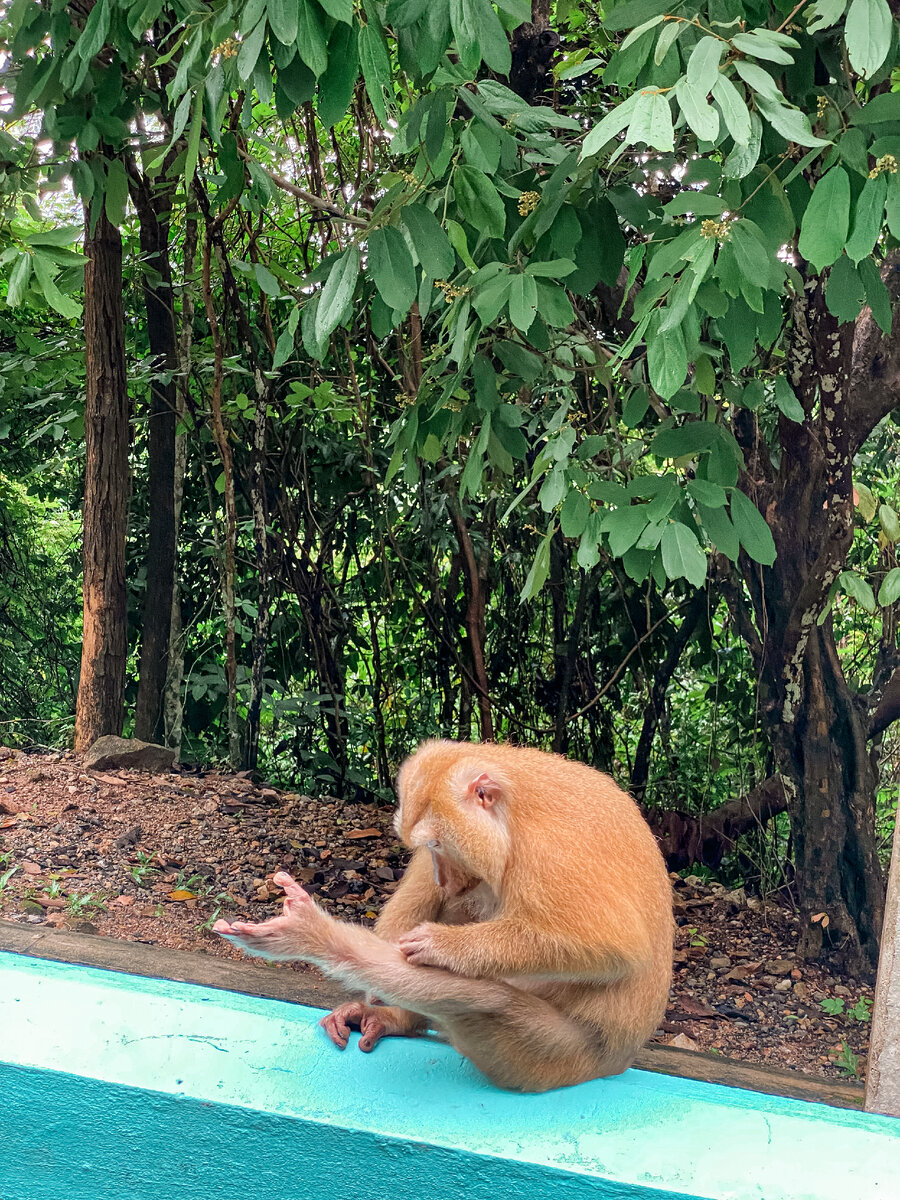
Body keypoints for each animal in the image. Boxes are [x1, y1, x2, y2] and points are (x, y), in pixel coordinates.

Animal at [214, 734, 672, 1094]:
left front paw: (446, 946)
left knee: (485, 1000)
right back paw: (391, 1013)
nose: (442, 875)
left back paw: (314, 936)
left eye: (438, 844)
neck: (517, 813)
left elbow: (616, 947)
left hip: (558, 1058)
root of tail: (617, 1063)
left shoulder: (551, 852)